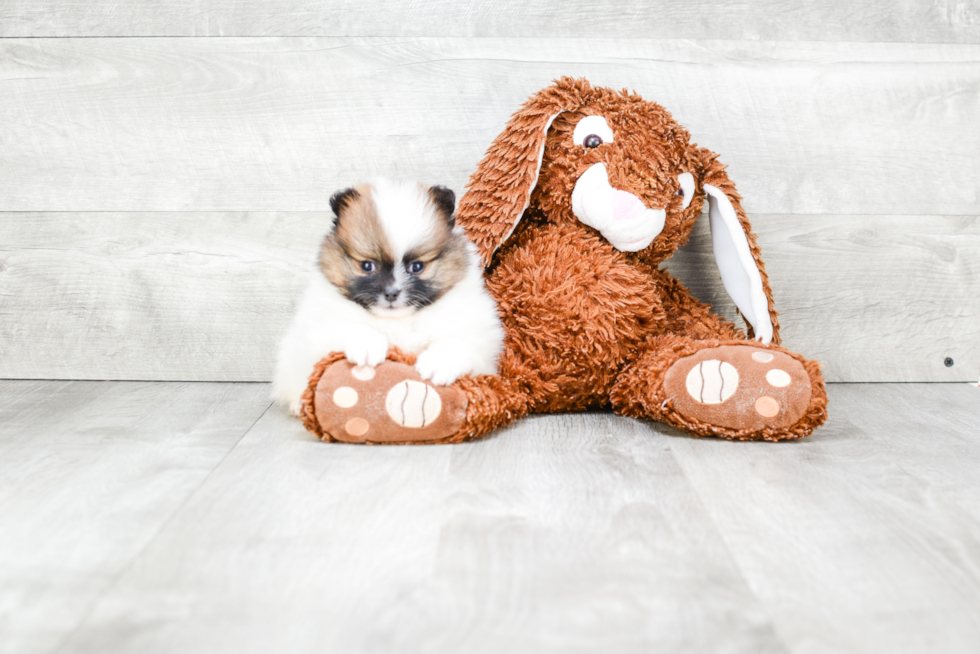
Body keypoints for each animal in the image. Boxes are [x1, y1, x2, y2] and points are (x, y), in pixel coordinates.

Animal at [276, 179, 506, 416]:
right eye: (367, 266)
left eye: (417, 267)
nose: (391, 292)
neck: (398, 321)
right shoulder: (318, 328)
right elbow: (348, 326)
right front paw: (367, 347)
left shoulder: (480, 338)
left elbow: (459, 343)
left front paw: (437, 364)